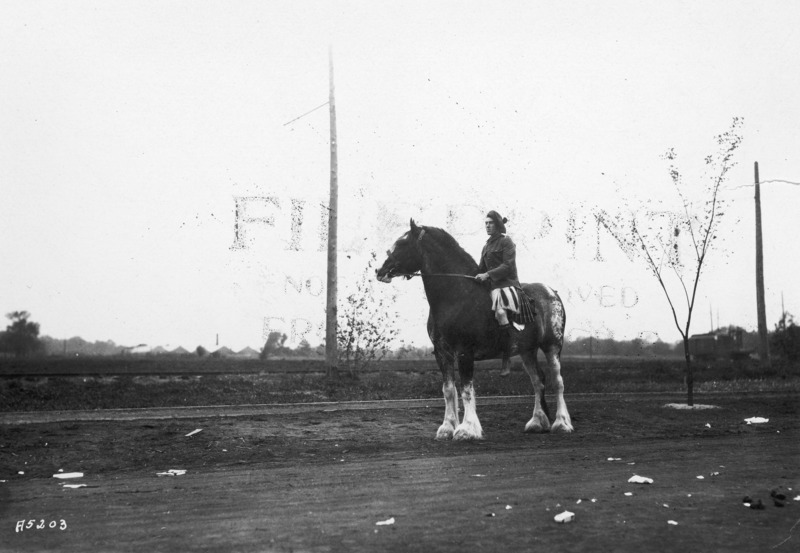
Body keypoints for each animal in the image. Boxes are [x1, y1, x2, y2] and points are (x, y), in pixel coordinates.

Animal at [376, 220, 572, 440]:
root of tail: (551, 292)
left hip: (552, 347)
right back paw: (537, 422)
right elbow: (448, 390)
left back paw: (561, 423)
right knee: (538, 381)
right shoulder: (442, 353)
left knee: (557, 381)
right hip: (527, 351)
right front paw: (447, 427)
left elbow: (466, 390)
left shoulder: (464, 352)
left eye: (402, 243)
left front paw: (466, 429)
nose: (380, 271)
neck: (456, 296)